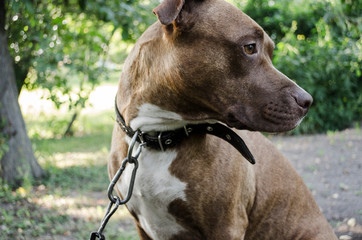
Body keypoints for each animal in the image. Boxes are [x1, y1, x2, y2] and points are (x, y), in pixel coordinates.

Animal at [109, 0, 338, 239]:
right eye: (250, 47)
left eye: (270, 51)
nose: (307, 101)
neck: (156, 135)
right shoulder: (142, 226)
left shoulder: (226, 226)